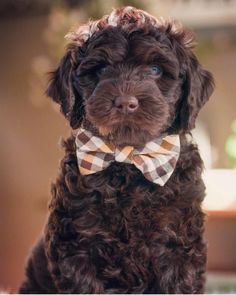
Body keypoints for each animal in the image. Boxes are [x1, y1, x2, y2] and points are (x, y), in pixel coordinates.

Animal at [19, 5, 215, 294]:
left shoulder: (179, 245)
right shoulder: (77, 244)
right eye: (100, 69)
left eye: (155, 69)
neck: (129, 161)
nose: (125, 103)